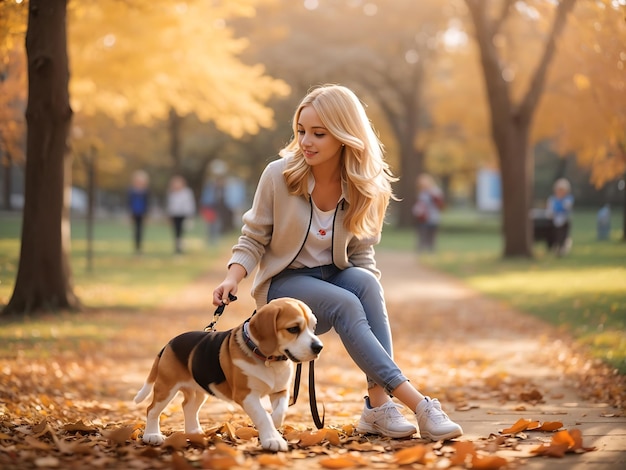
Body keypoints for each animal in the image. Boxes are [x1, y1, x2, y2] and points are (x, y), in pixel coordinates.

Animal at [133, 298, 322, 452]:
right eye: (293, 329)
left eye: (313, 327)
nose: (319, 347)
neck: (269, 360)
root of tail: (169, 343)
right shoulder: (246, 395)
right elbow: (263, 416)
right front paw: (272, 439)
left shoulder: (280, 392)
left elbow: (279, 412)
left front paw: (274, 425)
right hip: (166, 387)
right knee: (152, 410)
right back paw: (152, 436)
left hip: (199, 391)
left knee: (188, 407)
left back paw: (194, 432)